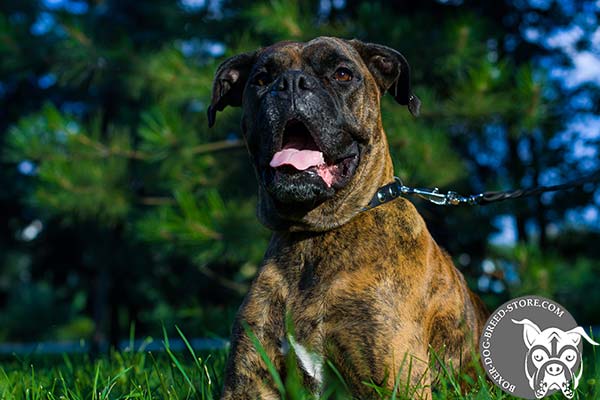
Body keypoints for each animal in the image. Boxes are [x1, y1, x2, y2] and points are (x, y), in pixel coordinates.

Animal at [207, 36, 488, 398]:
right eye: (261, 79)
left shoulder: (395, 382)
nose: (291, 83)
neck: (314, 237)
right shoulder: (248, 382)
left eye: (342, 74)